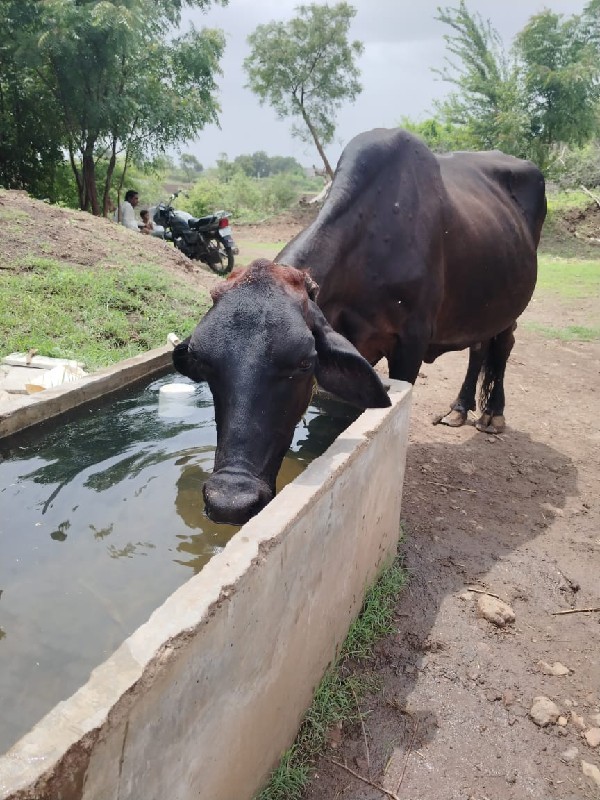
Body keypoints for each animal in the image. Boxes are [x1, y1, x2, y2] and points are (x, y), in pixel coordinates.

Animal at [172, 129, 544, 524]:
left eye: (304, 363)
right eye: (205, 364)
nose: (229, 500)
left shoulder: (411, 342)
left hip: (510, 307)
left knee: (501, 346)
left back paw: (493, 414)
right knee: (478, 347)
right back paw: (459, 409)